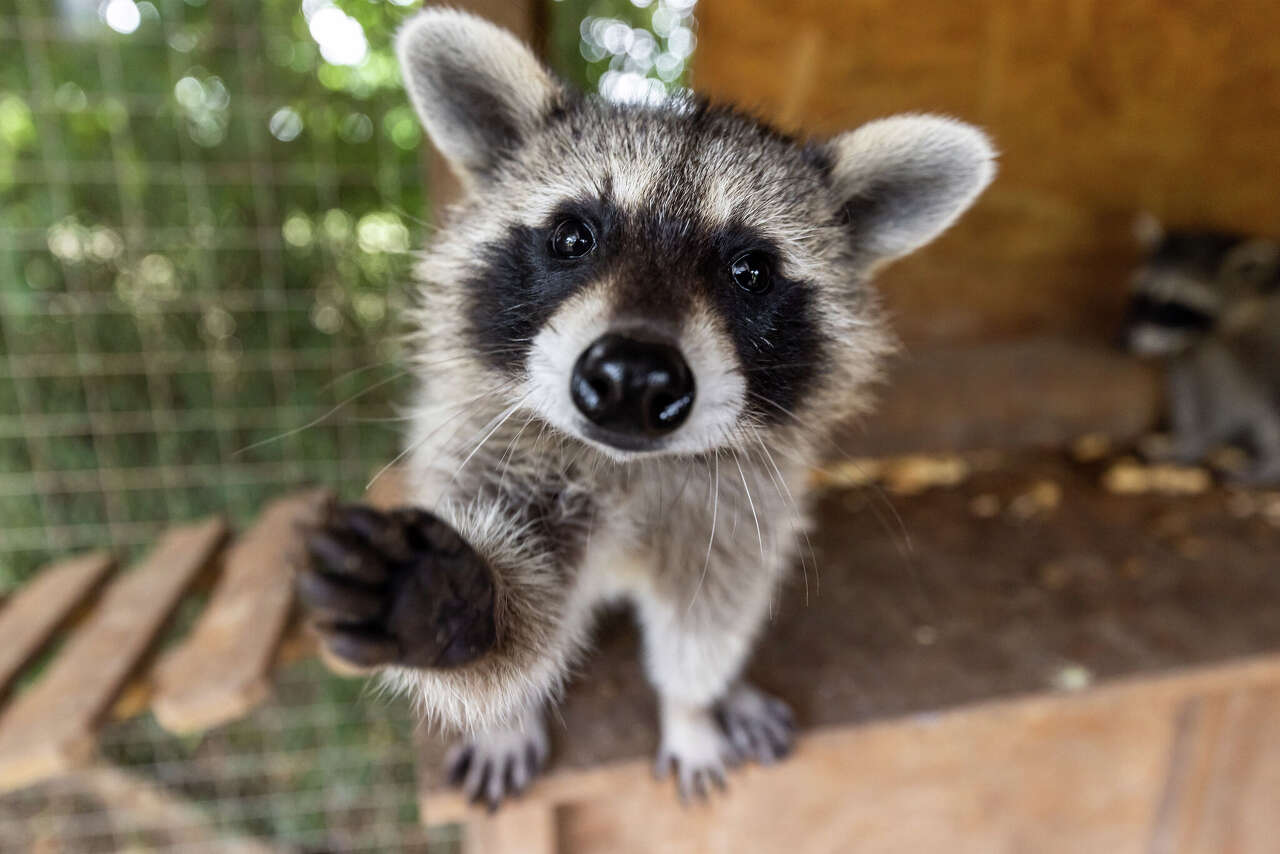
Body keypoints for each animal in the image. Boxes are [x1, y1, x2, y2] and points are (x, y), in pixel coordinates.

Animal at [297, 9, 995, 806]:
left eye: (751, 270)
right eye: (572, 236)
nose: (634, 378)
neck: (626, 465)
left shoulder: (737, 509)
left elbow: (709, 621)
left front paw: (692, 711)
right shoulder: (486, 445)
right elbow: (524, 613)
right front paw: (457, 612)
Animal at [1121, 214, 1280, 483]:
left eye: (1173, 307)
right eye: (1142, 297)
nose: (1127, 341)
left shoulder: (1266, 342)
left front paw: (1272, 464)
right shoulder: (1194, 349)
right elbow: (1191, 389)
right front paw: (1190, 440)